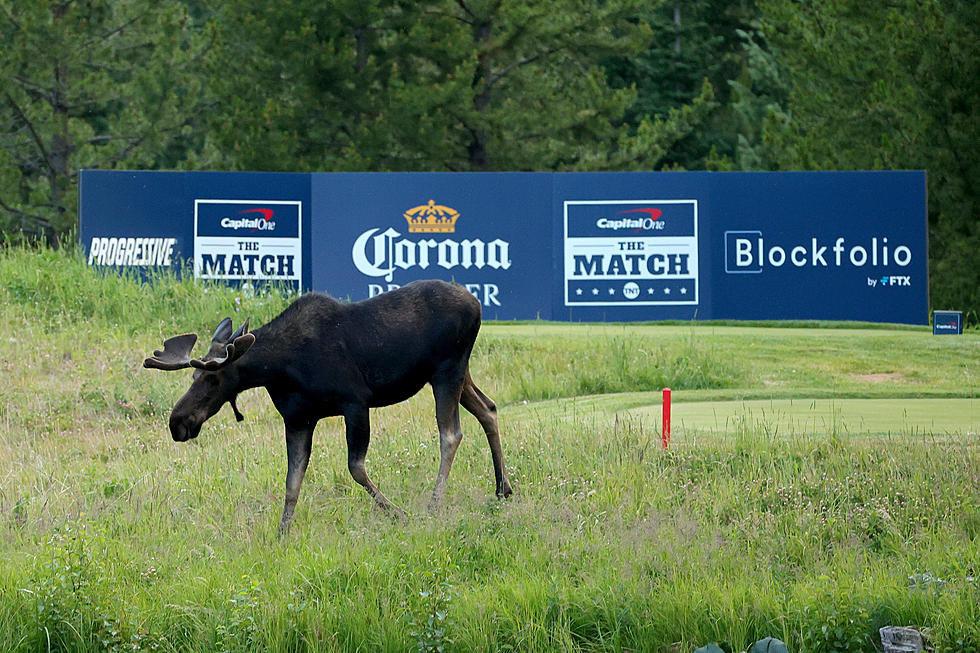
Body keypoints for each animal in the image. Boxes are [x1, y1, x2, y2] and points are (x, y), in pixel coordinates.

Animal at [147, 278, 512, 532]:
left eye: (213, 378)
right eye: (193, 375)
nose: (178, 422)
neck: (279, 369)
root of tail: (477, 304)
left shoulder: (355, 402)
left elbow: (356, 468)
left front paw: (399, 514)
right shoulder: (298, 419)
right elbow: (292, 483)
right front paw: (281, 534)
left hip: (447, 370)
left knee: (451, 434)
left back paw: (435, 504)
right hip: (459, 372)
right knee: (489, 409)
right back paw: (503, 488)